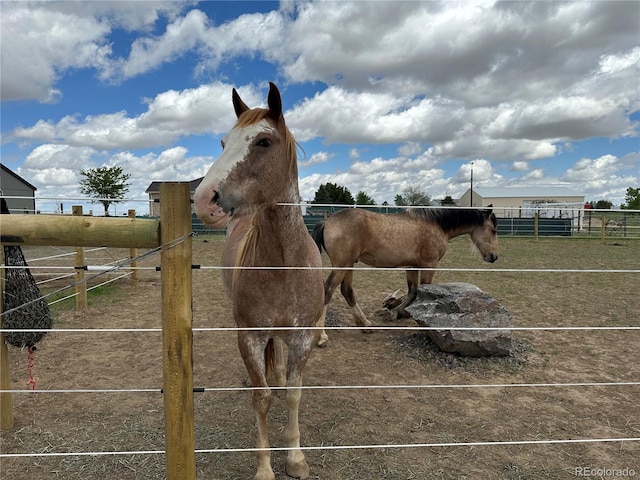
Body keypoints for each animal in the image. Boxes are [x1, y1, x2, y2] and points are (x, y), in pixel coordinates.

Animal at [194, 83, 324, 480]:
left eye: (263, 142)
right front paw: (265, 467)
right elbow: (261, 397)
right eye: (224, 142)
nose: (204, 200)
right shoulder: (250, 336)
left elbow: (295, 392)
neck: (283, 262)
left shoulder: (303, 336)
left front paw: (296, 458)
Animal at [312, 206, 498, 344]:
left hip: (349, 265)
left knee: (347, 291)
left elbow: (413, 292)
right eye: (493, 229)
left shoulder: (412, 266)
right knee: (327, 291)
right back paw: (321, 336)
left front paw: (396, 313)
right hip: (342, 265)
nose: (494, 256)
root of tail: (327, 222)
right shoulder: (429, 265)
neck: (436, 225)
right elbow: (424, 291)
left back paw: (365, 325)